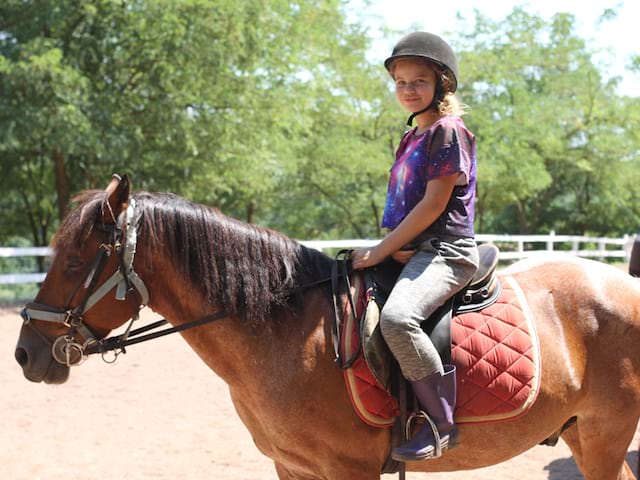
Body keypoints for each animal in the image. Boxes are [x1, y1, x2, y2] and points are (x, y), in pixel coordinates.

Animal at [12, 174, 640, 478]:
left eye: (76, 261)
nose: (25, 354)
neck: (287, 335)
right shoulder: (292, 468)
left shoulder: (349, 472)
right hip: (582, 434)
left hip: (606, 437)